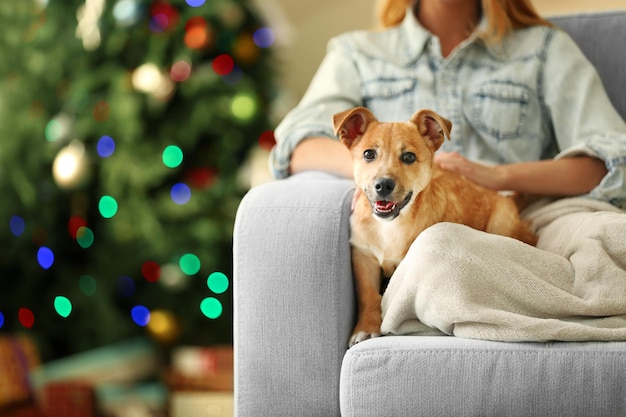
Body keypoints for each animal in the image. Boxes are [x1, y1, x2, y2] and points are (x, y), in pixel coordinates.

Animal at [332, 105, 536, 346]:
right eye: (368, 154)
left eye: (409, 156)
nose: (383, 185)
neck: (392, 226)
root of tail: (506, 199)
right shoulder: (364, 258)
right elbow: (368, 295)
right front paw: (366, 326)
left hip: (501, 226)